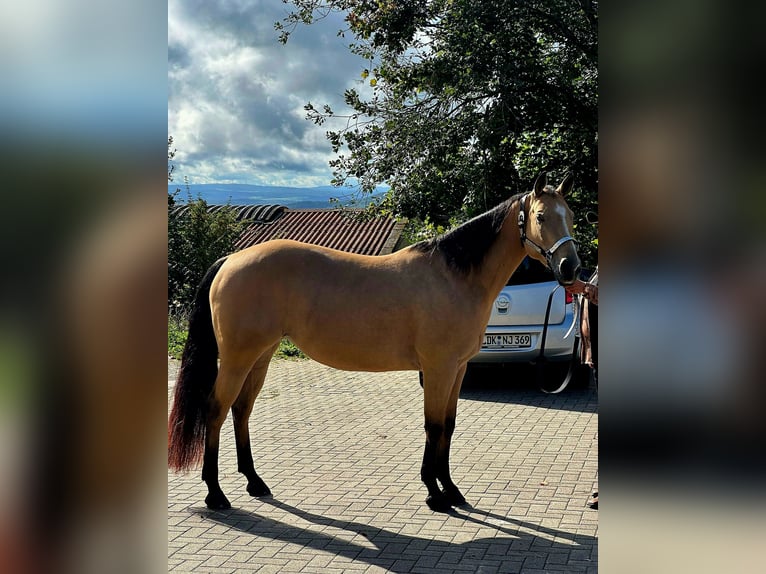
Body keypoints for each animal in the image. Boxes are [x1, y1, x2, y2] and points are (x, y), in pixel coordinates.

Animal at [168, 172, 582, 512]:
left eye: (572, 216)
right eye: (541, 217)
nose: (571, 268)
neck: (454, 276)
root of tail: (231, 259)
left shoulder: (458, 369)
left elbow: (449, 425)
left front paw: (450, 489)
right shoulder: (438, 369)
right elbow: (433, 426)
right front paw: (434, 494)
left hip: (261, 356)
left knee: (241, 410)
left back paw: (255, 483)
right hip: (238, 358)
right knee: (215, 410)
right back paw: (215, 494)